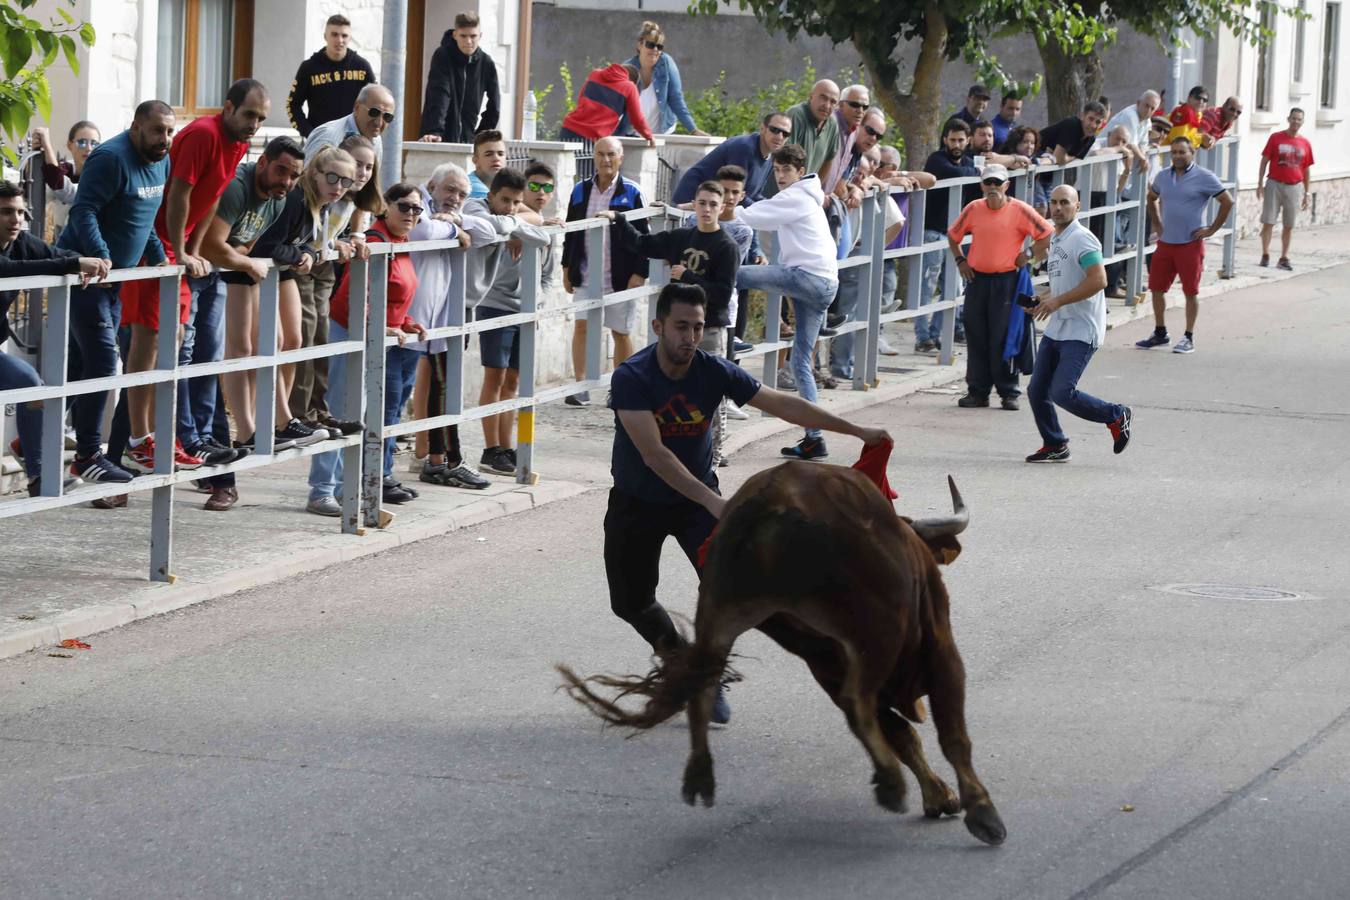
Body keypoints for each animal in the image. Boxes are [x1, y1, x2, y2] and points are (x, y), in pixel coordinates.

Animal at [553, 461, 1009, 847]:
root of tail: (775, 502)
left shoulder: (830, 665)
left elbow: (903, 733)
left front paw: (940, 796)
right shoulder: (942, 651)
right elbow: (949, 735)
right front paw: (978, 809)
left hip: (726, 614)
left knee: (705, 686)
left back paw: (700, 775)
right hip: (872, 631)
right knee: (859, 701)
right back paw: (891, 785)